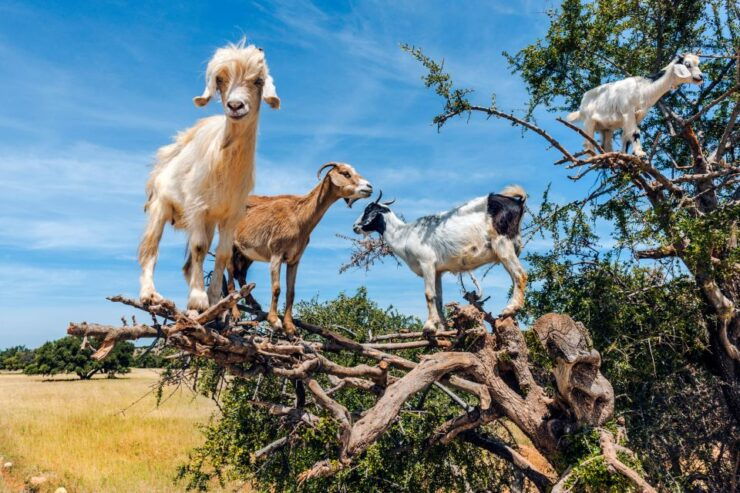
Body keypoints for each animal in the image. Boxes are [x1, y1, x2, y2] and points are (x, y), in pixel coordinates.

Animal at [138, 39, 280, 313]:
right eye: (220, 80)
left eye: (258, 80)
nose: (235, 106)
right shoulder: (197, 206)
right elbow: (199, 247)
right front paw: (198, 299)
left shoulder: (230, 214)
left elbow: (223, 254)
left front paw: (214, 299)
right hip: (160, 206)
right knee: (150, 249)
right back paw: (150, 295)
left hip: (209, 221)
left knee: (187, 264)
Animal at [229, 163, 373, 335]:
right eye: (345, 173)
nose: (369, 187)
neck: (298, 216)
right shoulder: (276, 253)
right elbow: (276, 288)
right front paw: (274, 321)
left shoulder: (294, 259)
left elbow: (291, 292)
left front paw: (290, 327)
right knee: (229, 276)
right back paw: (235, 313)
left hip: (246, 254)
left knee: (240, 274)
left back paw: (254, 304)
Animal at [353, 186, 527, 334]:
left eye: (368, 209)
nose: (355, 226)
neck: (404, 234)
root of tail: (517, 202)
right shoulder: (438, 271)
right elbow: (438, 298)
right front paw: (443, 328)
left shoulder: (426, 262)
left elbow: (429, 294)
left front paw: (429, 326)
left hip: (503, 243)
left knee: (520, 274)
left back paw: (510, 309)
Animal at [567, 53, 703, 157]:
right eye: (687, 64)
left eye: (697, 64)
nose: (701, 77)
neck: (642, 89)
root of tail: (583, 102)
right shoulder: (627, 111)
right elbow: (634, 132)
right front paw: (640, 154)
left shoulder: (638, 115)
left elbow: (626, 136)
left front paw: (625, 155)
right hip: (588, 121)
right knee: (587, 143)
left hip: (606, 128)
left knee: (606, 144)